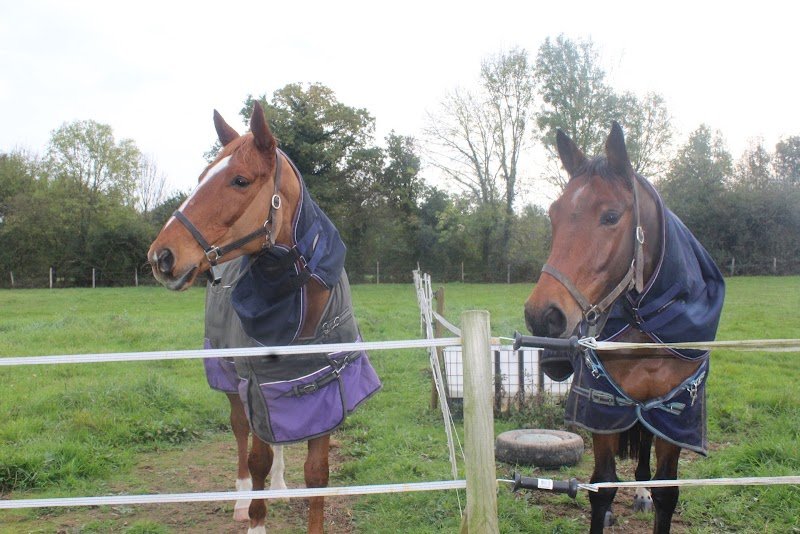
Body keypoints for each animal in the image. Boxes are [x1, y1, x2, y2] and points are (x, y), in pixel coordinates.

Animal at [148, 102, 381, 533]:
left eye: (240, 180)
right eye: (202, 177)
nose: (162, 256)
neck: (302, 316)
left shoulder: (324, 392)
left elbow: (317, 474)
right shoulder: (254, 387)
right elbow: (257, 458)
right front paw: (255, 518)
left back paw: (280, 486)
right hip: (230, 379)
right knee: (241, 434)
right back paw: (242, 499)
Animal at [523, 123, 724, 533]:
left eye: (612, 216)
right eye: (553, 214)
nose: (542, 315)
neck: (647, 330)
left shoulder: (673, 412)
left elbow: (666, 492)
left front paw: (651, 497)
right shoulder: (604, 407)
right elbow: (602, 486)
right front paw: (607, 507)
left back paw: (642, 494)